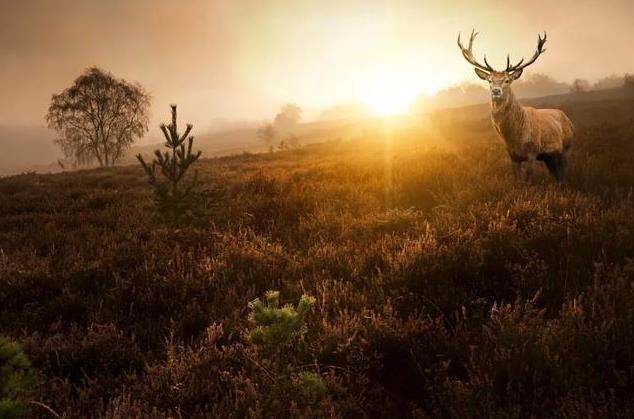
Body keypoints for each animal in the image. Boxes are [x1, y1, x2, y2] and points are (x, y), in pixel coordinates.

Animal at [454, 31, 572, 184]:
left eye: (507, 80)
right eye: (489, 80)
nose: (496, 91)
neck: (514, 137)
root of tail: (569, 119)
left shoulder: (532, 151)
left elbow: (528, 179)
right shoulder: (512, 155)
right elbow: (517, 181)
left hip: (566, 148)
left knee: (563, 173)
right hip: (549, 157)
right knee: (556, 175)